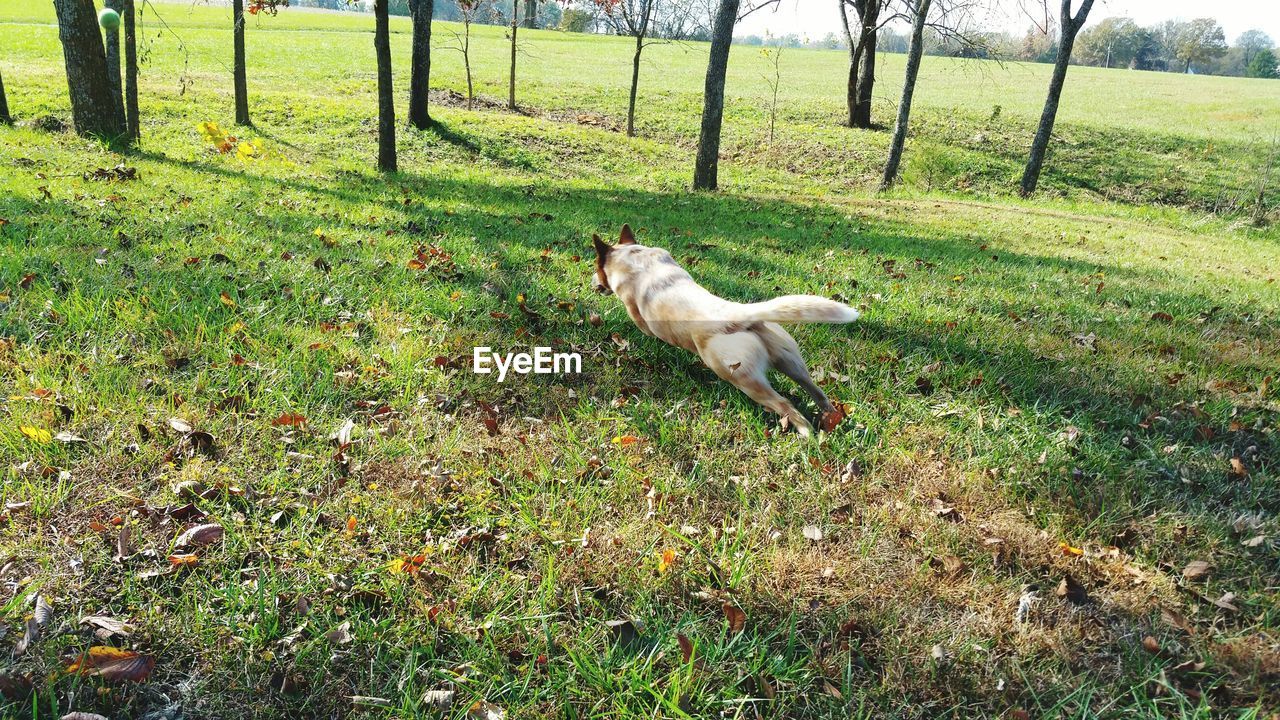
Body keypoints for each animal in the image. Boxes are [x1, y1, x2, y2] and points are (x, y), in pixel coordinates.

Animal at [591, 224, 860, 435]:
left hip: (745, 380)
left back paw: (807, 435)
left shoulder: (639, 319)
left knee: (785, 405)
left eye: (596, 268)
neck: (635, 258)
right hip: (792, 363)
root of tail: (740, 315)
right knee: (817, 391)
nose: (593, 283)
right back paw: (831, 418)